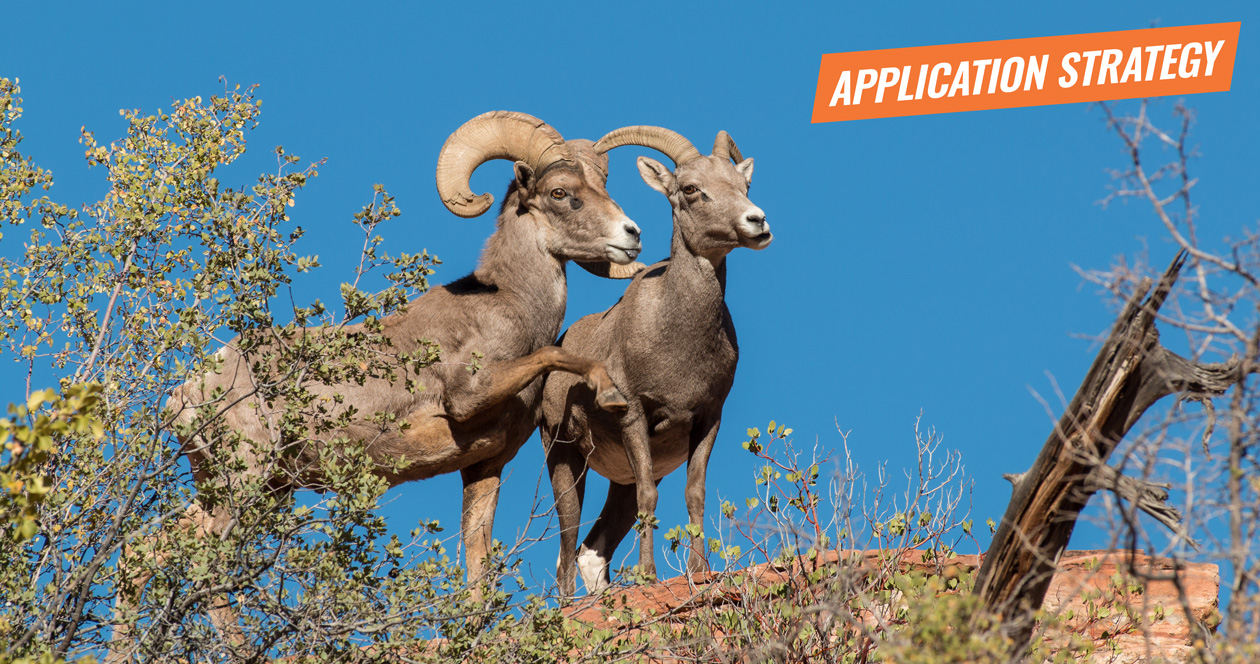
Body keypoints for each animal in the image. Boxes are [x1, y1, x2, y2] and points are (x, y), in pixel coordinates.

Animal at [114, 111, 646, 644]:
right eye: (560, 192)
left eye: (601, 186)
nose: (632, 233)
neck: (509, 306)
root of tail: (186, 391)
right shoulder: (469, 396)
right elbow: (558, 355)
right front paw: (612, 394)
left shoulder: (483, 466)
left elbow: (477, 570)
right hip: (244, 480)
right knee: (202, 562)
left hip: (257, 488)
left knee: (143, 551)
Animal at [539, 126, 771, 595]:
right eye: (691, 189)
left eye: (744, 185)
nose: (757, 222)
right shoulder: (634, 415)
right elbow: (650, 494)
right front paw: (647, 575)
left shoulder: (706, 420)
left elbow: (694, 494)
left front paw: (698, 571)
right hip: (564, 458)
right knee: (568, 543)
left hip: (617, 483)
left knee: (592, 550)